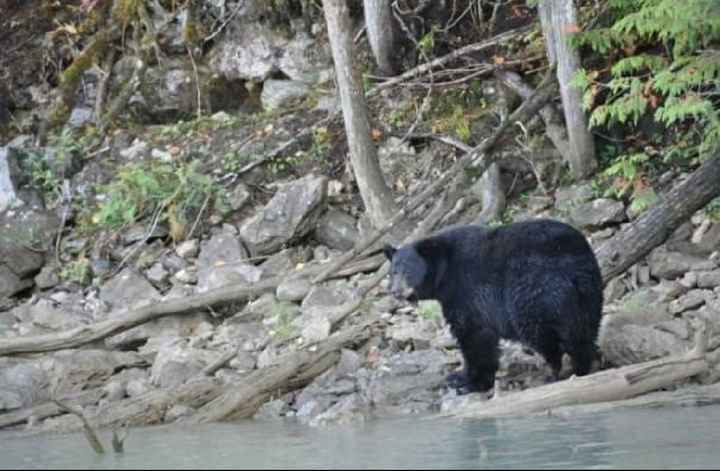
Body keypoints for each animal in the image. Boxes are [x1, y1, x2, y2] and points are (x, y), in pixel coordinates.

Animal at [386, 220, 604, 394]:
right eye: (393, 272)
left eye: (407, 270)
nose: (395, 291)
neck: (444, 272)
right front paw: (459, 377)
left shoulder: (465, 292)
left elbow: (474, 335)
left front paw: (469, 382)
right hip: (589, 290)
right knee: (583, 331)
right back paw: (584, 365)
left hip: (534, 290)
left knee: (545, 335)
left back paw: (554, 373)